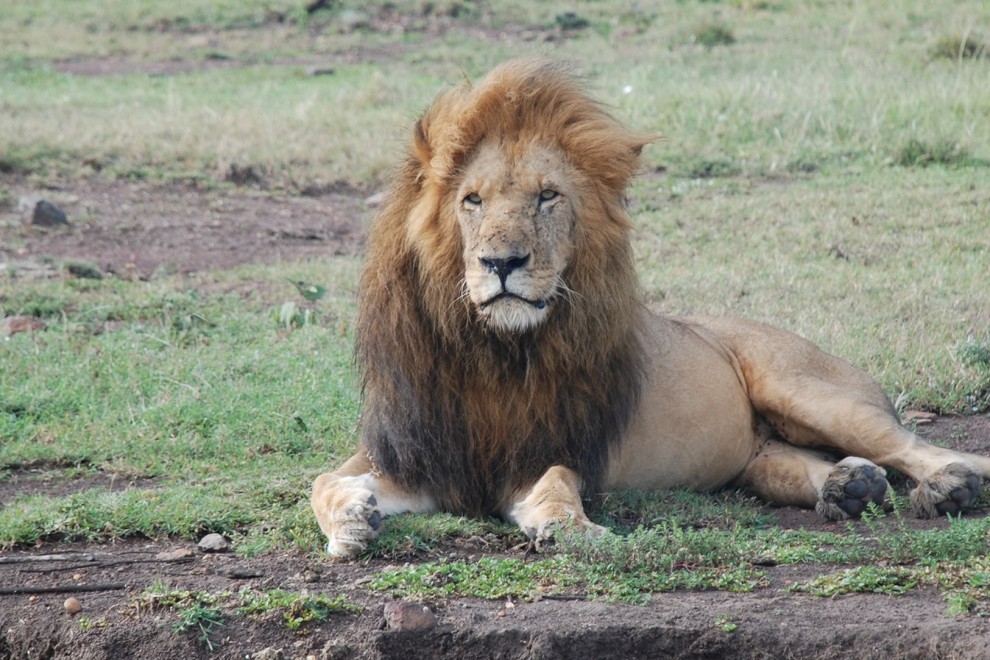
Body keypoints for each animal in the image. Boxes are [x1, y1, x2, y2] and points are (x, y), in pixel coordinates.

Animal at [312, 59, 990, 560]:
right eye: (472, 200)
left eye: (548, 197)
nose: (501, 262)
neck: (491, 354)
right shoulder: (413, 454)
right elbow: (322, 482)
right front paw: (351, 523)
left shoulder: (545, 452)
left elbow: (555, 484)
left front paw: (573, 529)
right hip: (757, 455)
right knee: (798, 465)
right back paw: (849, 489)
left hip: (807, 389)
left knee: (909, 445)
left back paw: (950, 484)